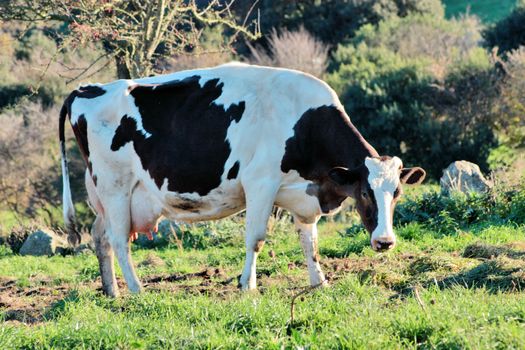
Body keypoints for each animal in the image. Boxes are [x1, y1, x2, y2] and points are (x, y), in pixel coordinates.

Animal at [59, 62, 424, 296]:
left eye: (397, 193)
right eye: (364, 193)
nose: (385, 241)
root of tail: (87, 89)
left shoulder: (305, 193)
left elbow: (310, 242)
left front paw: (319, 282)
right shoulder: (261, 183)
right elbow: (256, 238)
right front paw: (248, 285)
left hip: (104, 194)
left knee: (101, 237)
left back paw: (112, 292)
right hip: (116, 186)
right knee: (119, 240)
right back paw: (136, 290)